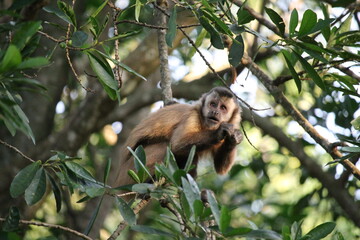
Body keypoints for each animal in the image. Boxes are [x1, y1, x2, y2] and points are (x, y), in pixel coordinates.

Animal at [115, 86, 243, 188]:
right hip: (131, 170)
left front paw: (235, 138)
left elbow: (221, 168)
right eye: (213, 104)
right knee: (167, 146)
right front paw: (219, 132)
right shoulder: (192, 116)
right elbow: (178, 144)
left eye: (223, 108)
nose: (215, 112)